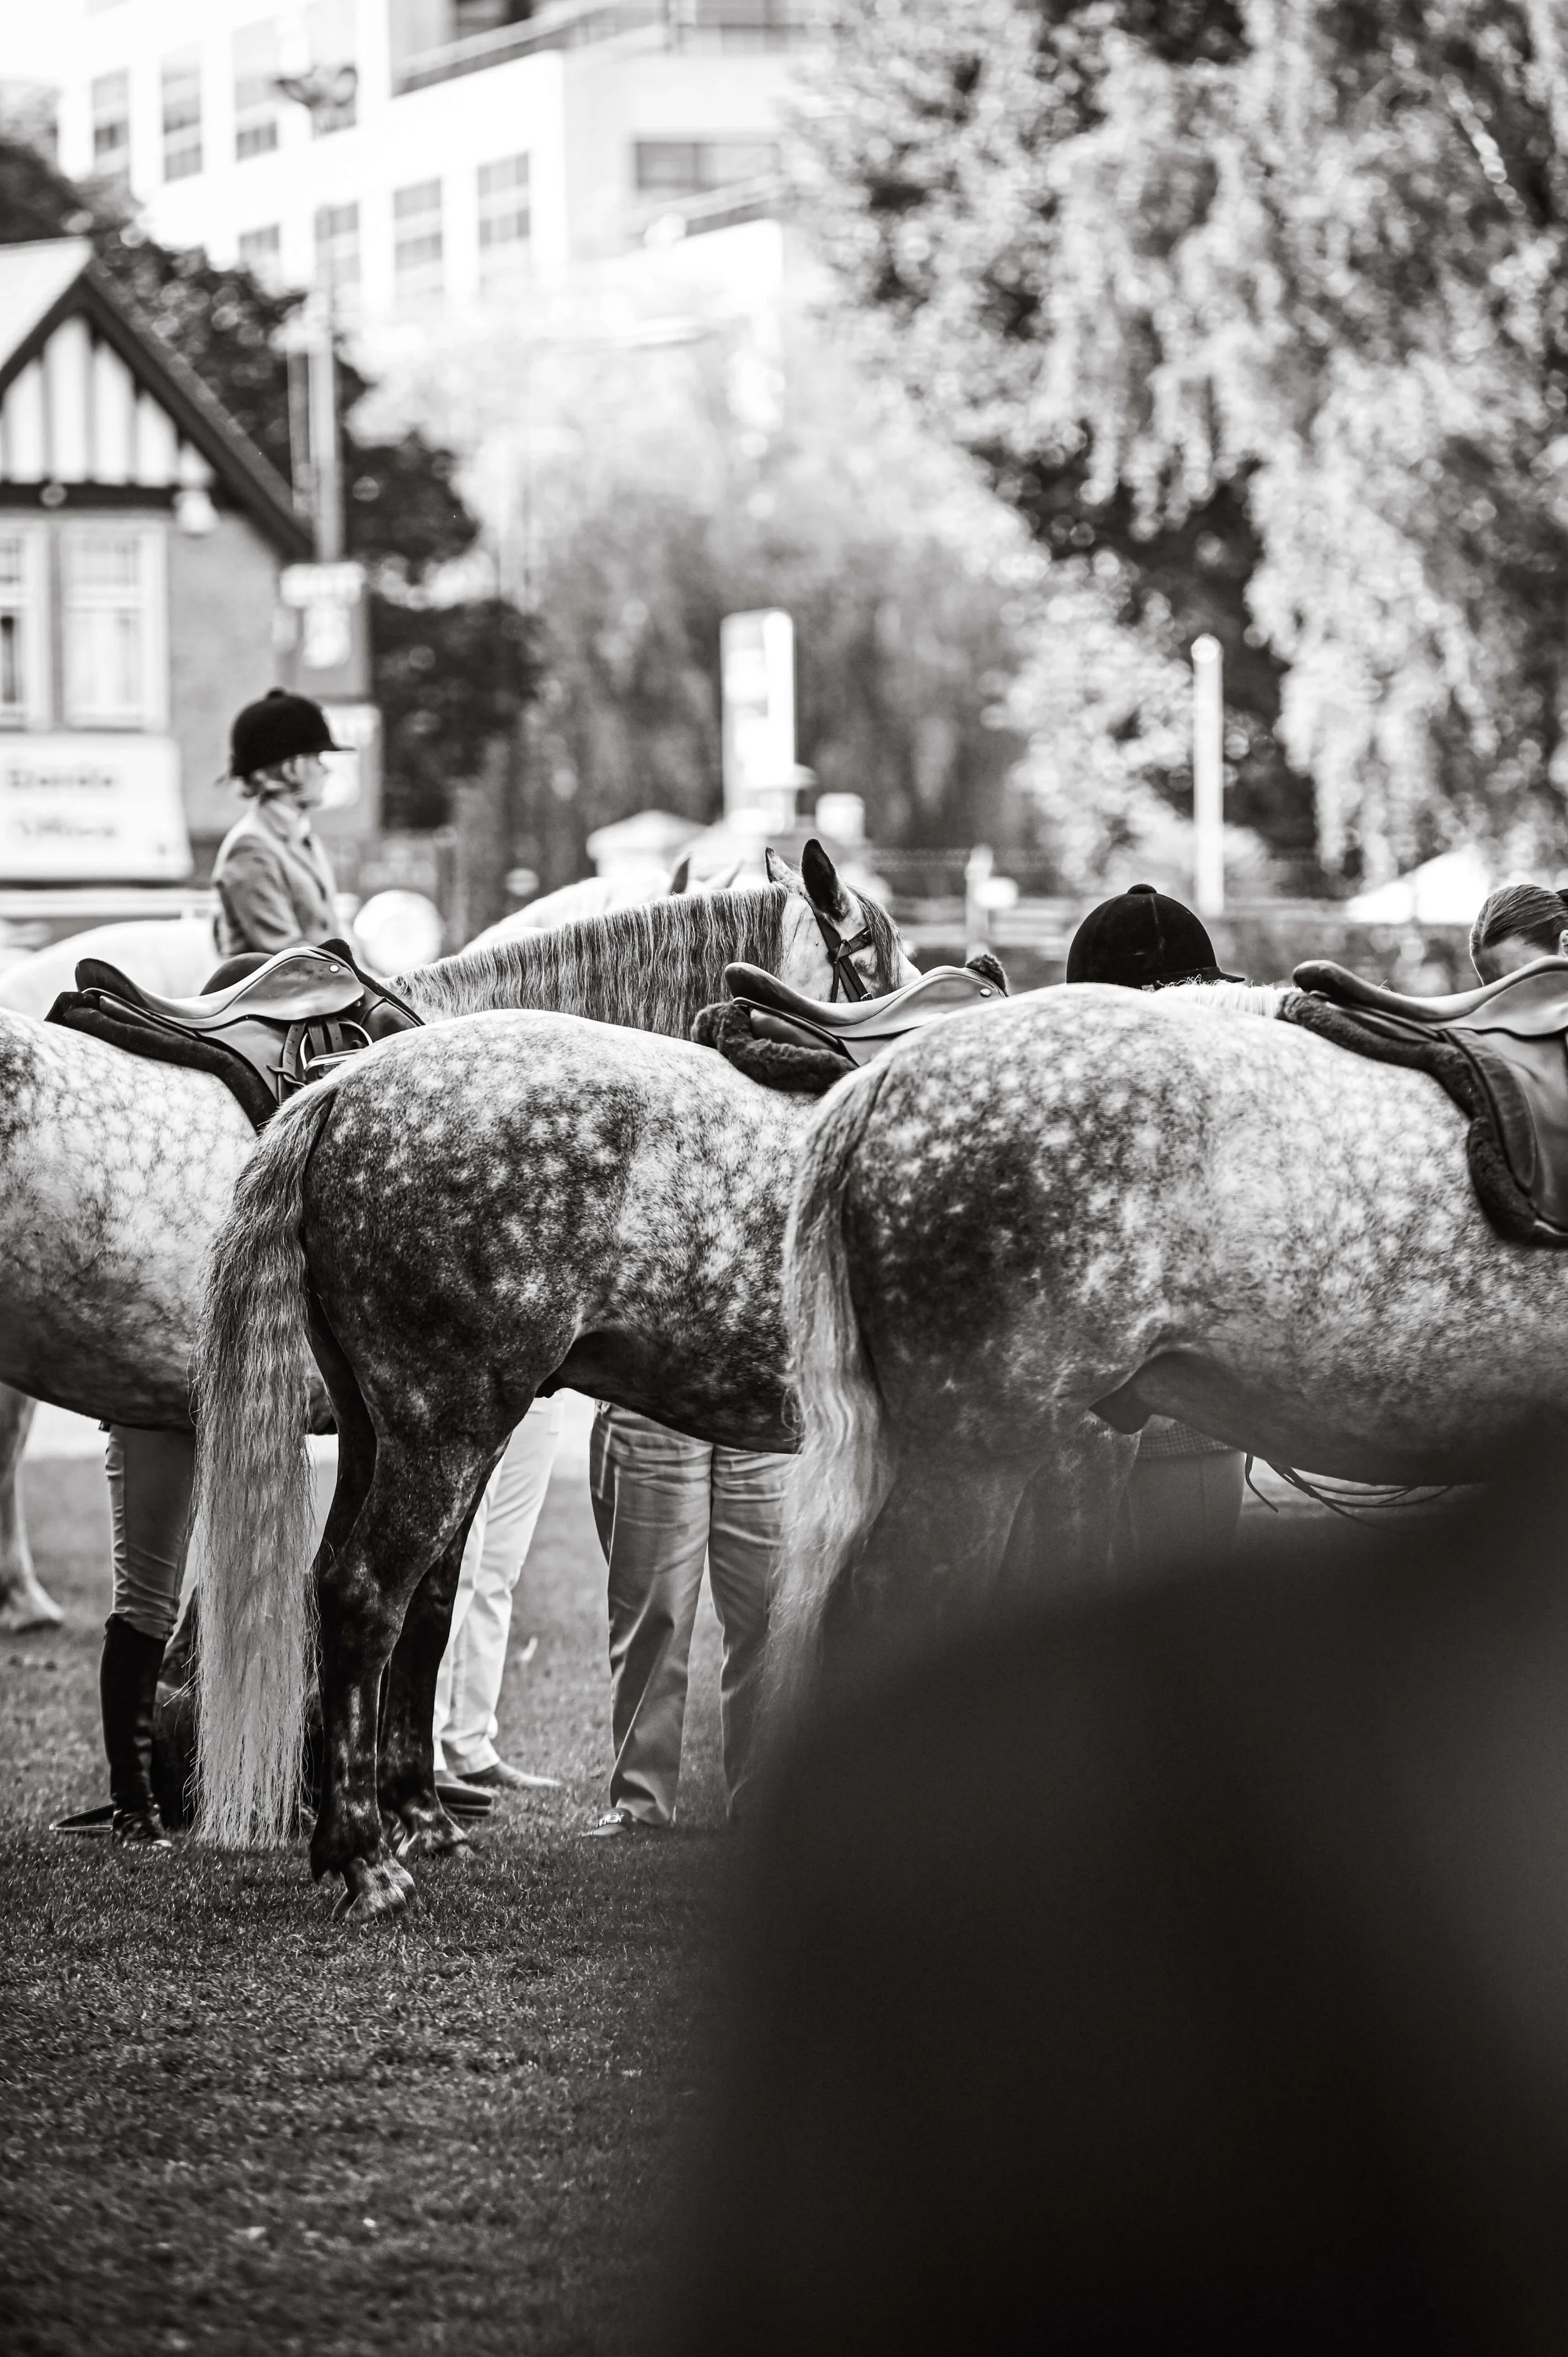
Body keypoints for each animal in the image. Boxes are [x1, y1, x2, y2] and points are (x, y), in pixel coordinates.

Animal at [191, 854, 914, 1919]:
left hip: (388, 1428)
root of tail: (346, 1085)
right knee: (367, 1594)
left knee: (377, 1590)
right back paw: (365, 1855)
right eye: (875, 967)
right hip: (448, 1429)